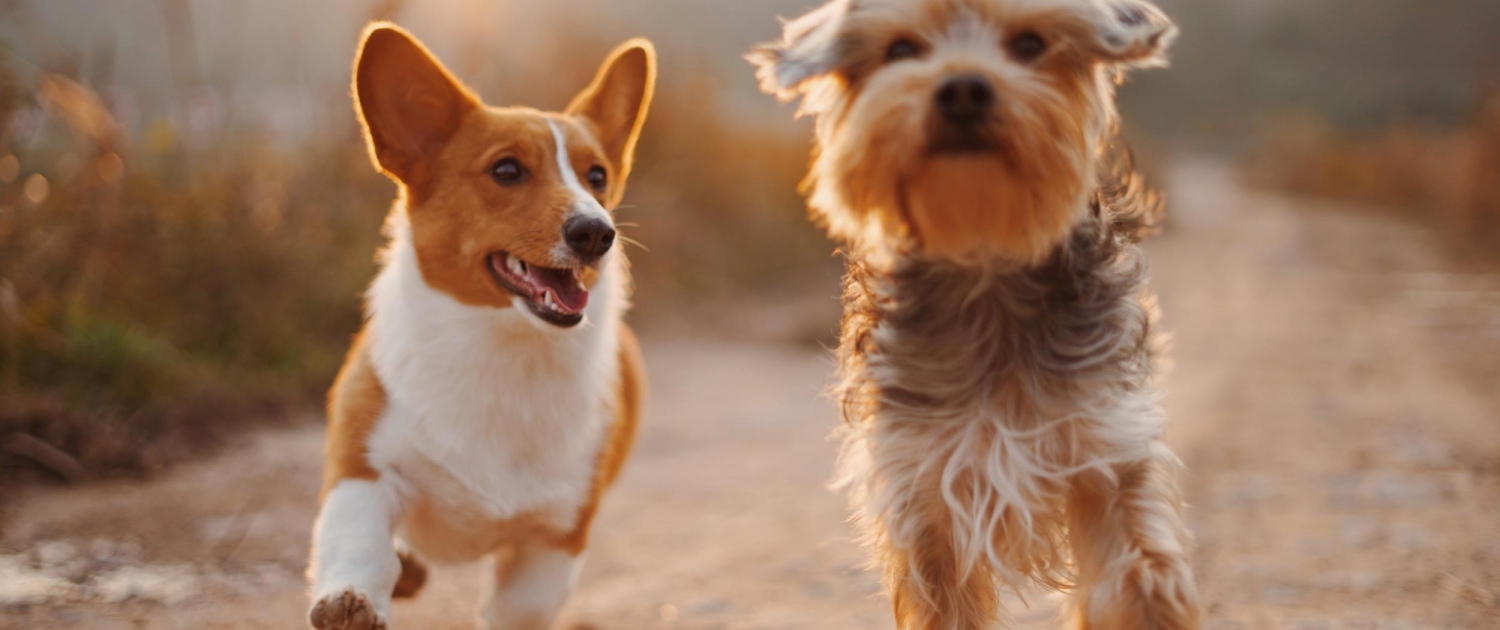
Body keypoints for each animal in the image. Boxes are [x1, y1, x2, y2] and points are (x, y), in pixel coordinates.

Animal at [307, 22, 654, 627]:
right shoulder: (363, 466)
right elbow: (359, 542)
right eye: (506, 170)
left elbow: (516, 607)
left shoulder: (555, 537)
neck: (503, 348)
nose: (597, 232)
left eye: (598, 176)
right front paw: (350, 600)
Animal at [750, 1, 1206, 630]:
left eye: (1031, 43)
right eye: (900, 50)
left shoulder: (1108, 449)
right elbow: (946, 604)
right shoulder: (924, 487)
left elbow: (1141, 577)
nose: (963, 88)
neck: (984, 255)